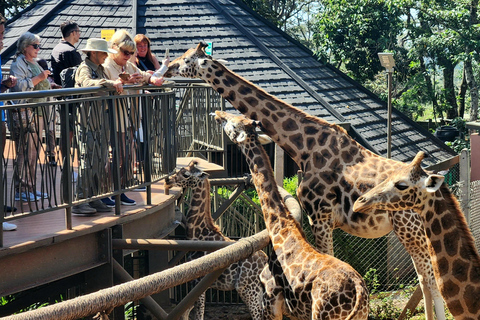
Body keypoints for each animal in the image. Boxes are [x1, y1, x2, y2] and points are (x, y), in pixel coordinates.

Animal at [165, 160, 270, 320]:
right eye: (179, 170)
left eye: (186, 174)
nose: (168, 181)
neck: (199, 234)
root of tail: (264, 260)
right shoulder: (197, 284)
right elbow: (186, 311)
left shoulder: (199, 280)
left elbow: (198, 313)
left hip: (248, 289)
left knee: (258, 314)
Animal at [216, 110, 370, 320]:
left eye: (232, 123)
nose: (217, 114)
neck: (279, 229)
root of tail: (359, 291)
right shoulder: (293, 313)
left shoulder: (270, 302)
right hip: (360, 315)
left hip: (321, 314)